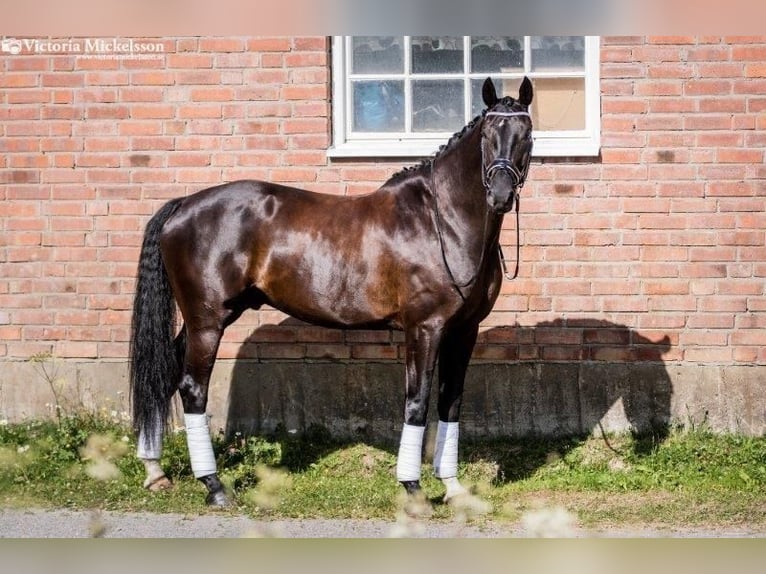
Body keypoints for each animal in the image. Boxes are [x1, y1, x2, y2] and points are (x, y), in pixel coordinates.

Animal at [129, 77, 536, 508]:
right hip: (207, 321)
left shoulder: (463, 330)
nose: (501, 196)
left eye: (526, 135)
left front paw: (453, 487)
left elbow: (451, 402)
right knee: (192, 388)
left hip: (202, 319)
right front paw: (412, 487)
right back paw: (214, 485)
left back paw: (155, 471)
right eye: (488, 135)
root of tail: (183, 206)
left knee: (165, 374)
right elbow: (417, 401)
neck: (440, 221)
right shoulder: (425, 328)